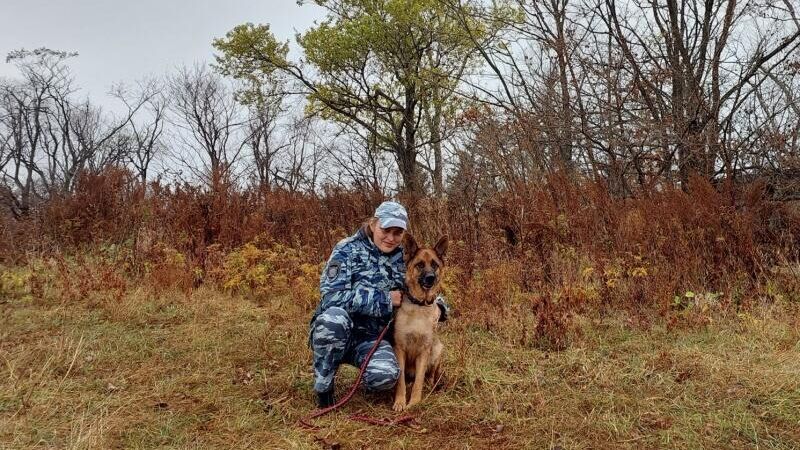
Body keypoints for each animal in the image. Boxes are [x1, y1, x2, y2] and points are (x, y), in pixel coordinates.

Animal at [396, 234, 450, 414]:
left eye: (435, 265)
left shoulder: (424, 351)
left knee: (430, 376)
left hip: (437, 350)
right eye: (419, 265)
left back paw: (429, 385)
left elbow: (419, 381)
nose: (430, 278)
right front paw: (400, 401)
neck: (419, 305)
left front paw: (414, 403)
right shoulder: (399, 349)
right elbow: (400, 380)